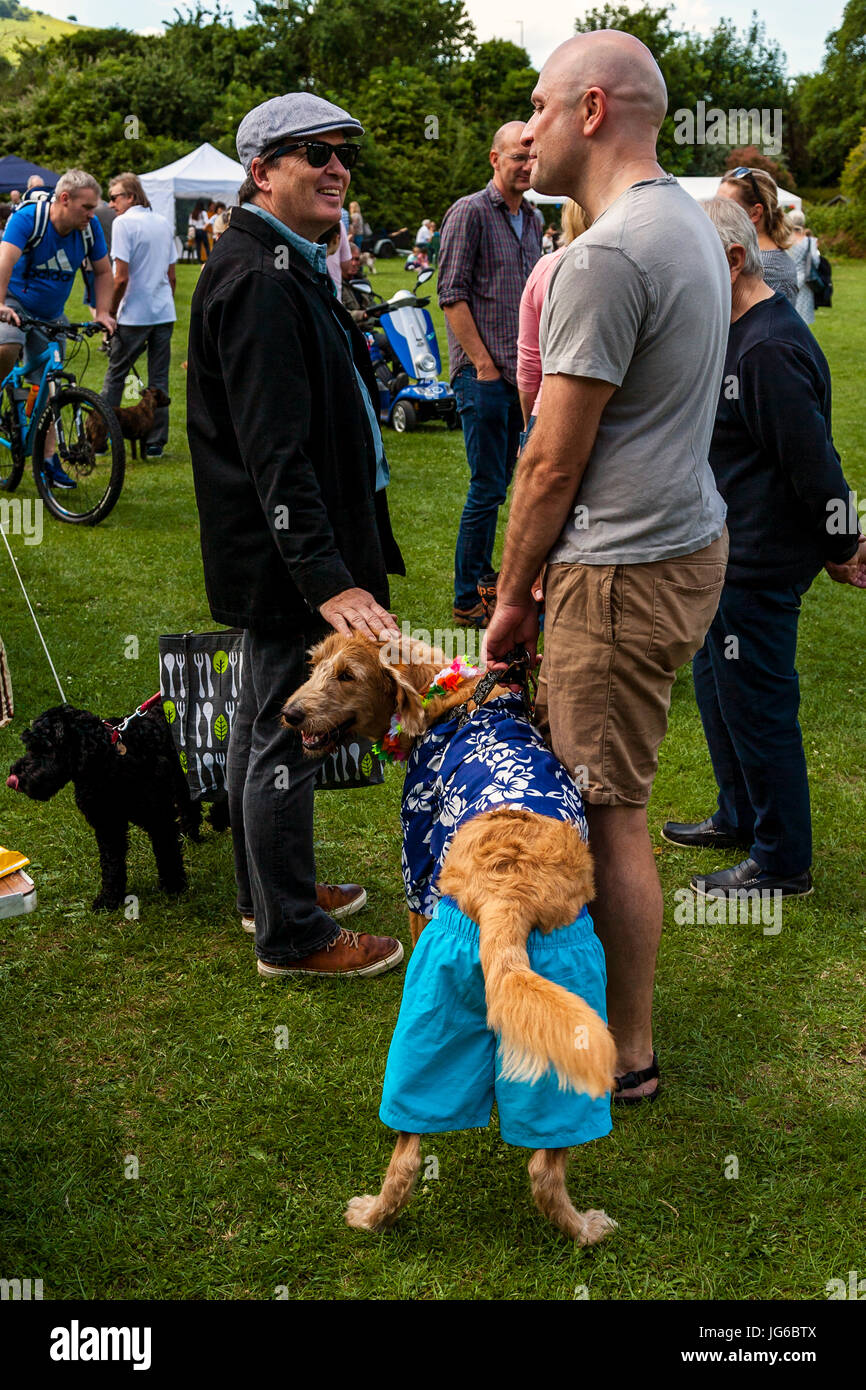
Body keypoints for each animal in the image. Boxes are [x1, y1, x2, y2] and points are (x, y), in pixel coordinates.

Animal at [6, 706, 201, 911]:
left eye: (46, 747)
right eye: (29, 746)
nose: (14, 777)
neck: (108, 761)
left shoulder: (159, 817)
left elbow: (167, 852)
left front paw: (174, 886)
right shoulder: (107, 824)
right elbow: (111, 864)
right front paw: (109, 898)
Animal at [283, 636, 617, 1245]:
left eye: (346, 676)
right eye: (313, 666)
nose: (289, 714)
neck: (459, 698)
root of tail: (510, 891)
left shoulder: (416, 872)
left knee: (408, 1153)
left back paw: (371, 1216)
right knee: (542, 1165)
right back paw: (581, 1229)